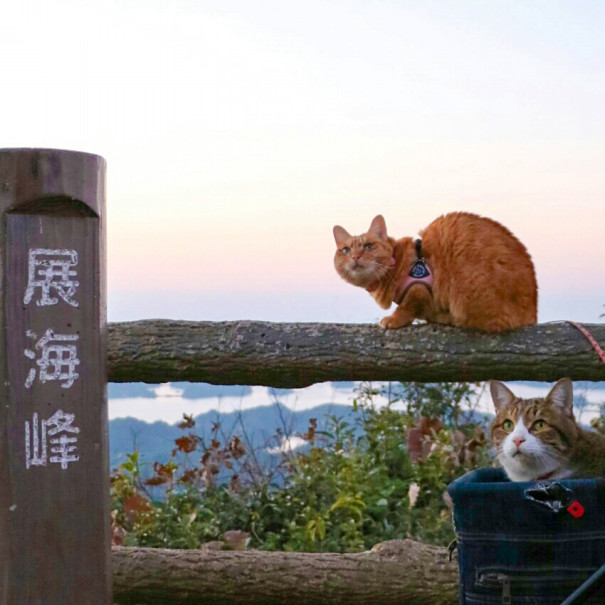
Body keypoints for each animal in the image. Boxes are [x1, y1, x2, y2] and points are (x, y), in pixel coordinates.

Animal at [332, 212, 536, 330]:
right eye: (346, 250)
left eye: (368, 246)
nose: (355, 256)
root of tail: (533, 312)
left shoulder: (419, 289)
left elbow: (407, 306)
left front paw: (394, 319)